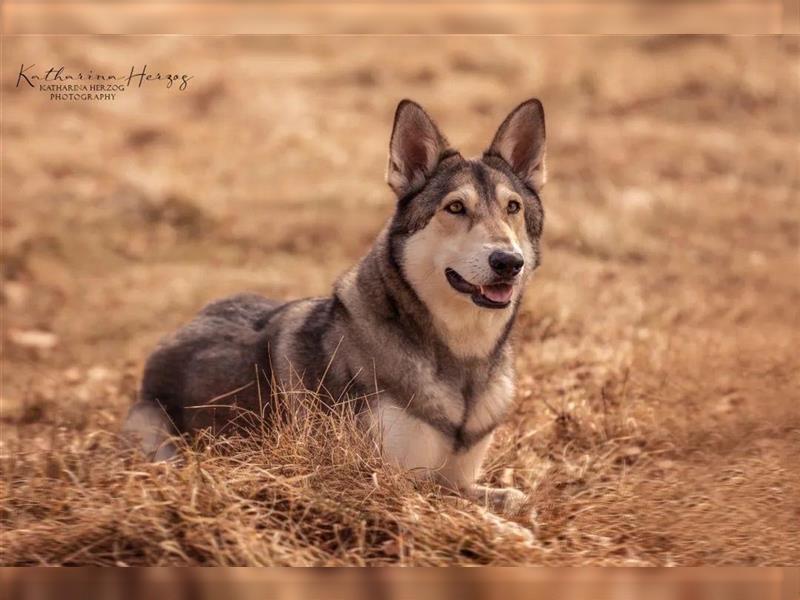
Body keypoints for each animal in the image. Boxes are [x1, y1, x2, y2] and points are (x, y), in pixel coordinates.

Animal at [125, 98, 548, 516]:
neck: (464, 360)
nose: (508, 262)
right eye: (456, 207)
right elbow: (460, 506)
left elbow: (513, 497)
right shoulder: (391, 478)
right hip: (161, 444)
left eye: (512, 207)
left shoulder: (460, 477)